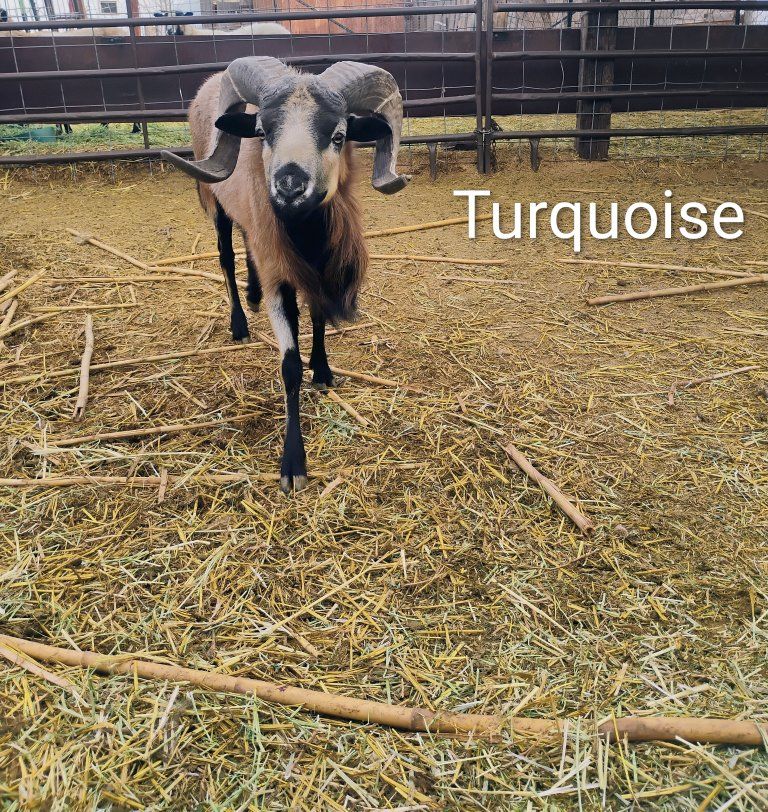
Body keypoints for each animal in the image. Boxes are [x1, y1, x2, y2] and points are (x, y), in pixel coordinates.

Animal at [161, 56, 409, 492]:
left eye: (339, 136)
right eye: (262, 132)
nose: (290, 185)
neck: (305, 237)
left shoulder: (315, 272)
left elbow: (319, 320)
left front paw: (323, 372)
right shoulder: (282, 279)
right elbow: (290, 367)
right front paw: (293, 463)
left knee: (247, 244)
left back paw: (253, 294)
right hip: (218, 206)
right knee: (226, 257)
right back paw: (240, 323)